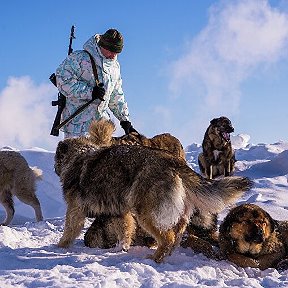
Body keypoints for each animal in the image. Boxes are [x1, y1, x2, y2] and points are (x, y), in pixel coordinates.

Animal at [54, 137, 252, 264]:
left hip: (146, 214)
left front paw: (60, 246)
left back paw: (156, 258)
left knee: (167, 237)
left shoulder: (75, 210)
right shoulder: (120, 212)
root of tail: (174, 161)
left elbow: (69, 229)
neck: (77, 156)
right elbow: (125, 230)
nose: (55, 168)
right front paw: (122, 247)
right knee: (178, 231)